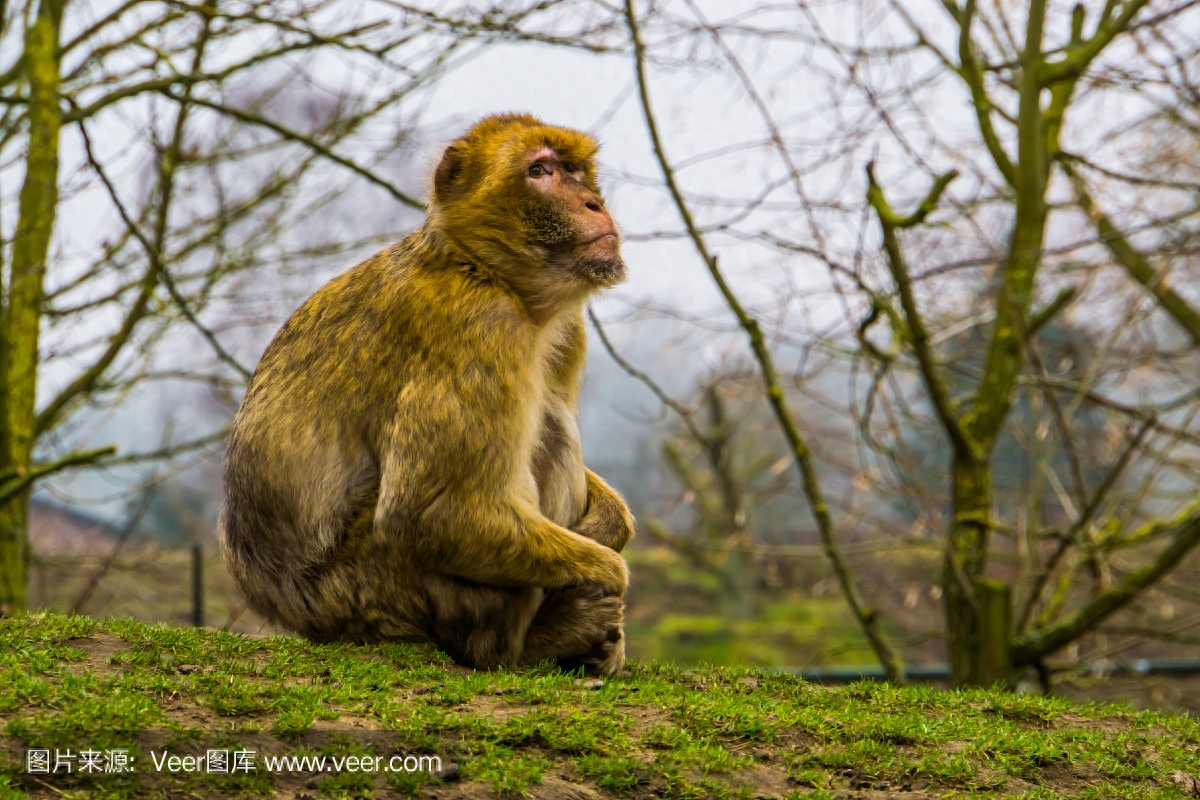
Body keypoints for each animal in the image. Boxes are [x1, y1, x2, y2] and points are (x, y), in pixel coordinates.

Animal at [222, 112, 643, 676]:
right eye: (539, 171)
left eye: (574, 170)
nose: (594, 202)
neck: (483, 269)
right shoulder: (476, 323)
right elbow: (431, 516)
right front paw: (607, 570)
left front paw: (611, 522)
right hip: (378, 589)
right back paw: (538, 642)